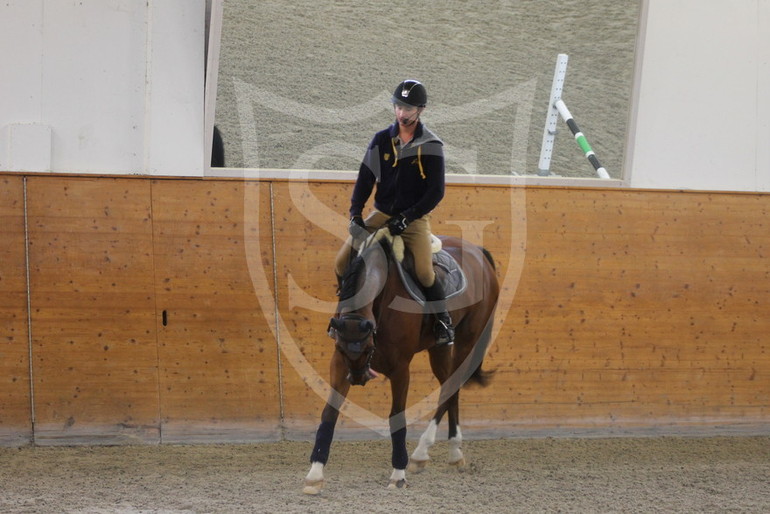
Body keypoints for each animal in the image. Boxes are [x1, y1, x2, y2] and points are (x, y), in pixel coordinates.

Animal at [300, 229, 498, 492]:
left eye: (369, 348)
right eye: (342, 349)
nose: (358, 378)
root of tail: (479, 252)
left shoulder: (400, 368)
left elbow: (397, 416)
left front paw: (398, 473)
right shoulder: (339, 364)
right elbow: (329, 413)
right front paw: (315, 473)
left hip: (468, 339)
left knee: (452, 385)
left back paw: (423, 452)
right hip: (439, 348)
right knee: (449, 385)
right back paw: (452, 452)